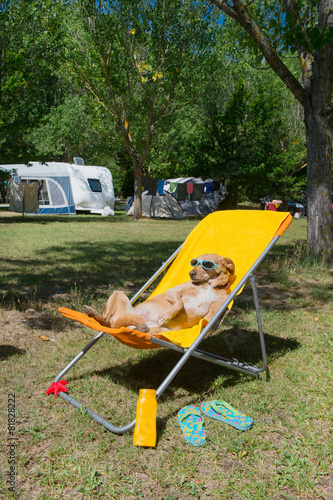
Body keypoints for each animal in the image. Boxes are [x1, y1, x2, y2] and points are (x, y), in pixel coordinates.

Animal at [83, 254, 233, 336]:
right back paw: (92, 313)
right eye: (195, 262)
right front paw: (167, 314)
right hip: (118, 293)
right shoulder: (172, 292)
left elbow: (215, 316)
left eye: (207, 264)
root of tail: (119, 325)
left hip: (163, 331)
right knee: (105, 321)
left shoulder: (216, 309)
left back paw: (142, 328)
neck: (210, 286)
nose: (191, 273)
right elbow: (179, 303)